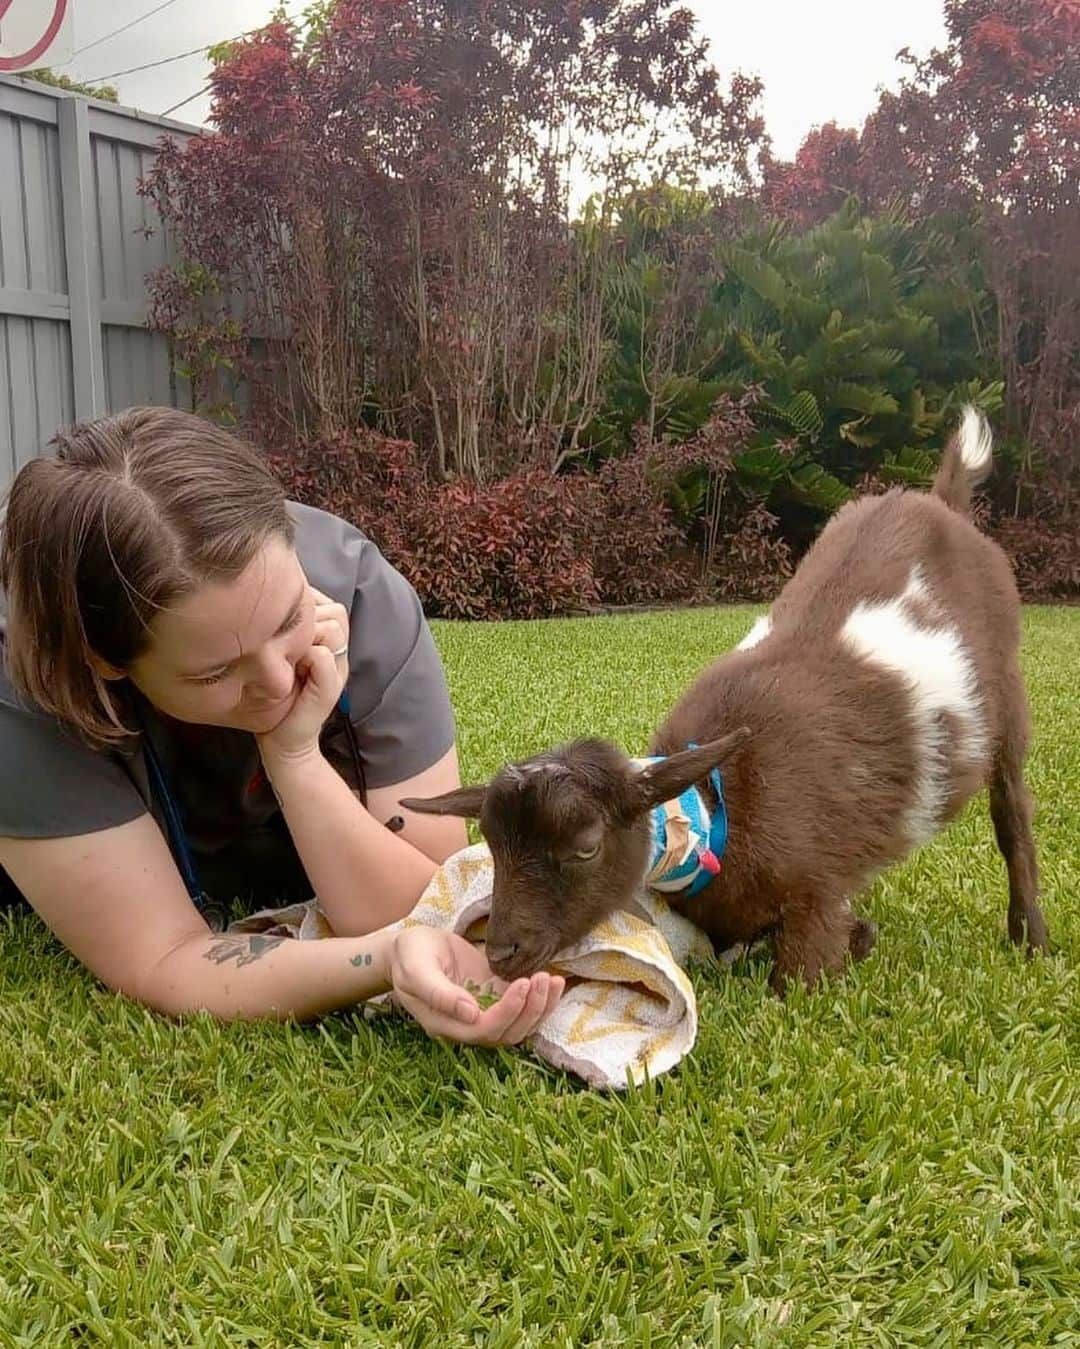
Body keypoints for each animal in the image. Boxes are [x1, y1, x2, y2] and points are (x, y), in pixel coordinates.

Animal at [403, 408, 1050, 993]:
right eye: (492, 844)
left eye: (585, 847)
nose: (502, 953)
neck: (716, 812)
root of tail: (941, 501)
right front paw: (863, 937)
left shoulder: (814, 894)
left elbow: (800, 981)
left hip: (1008, 691)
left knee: (1012, 814)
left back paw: (1030, 938)